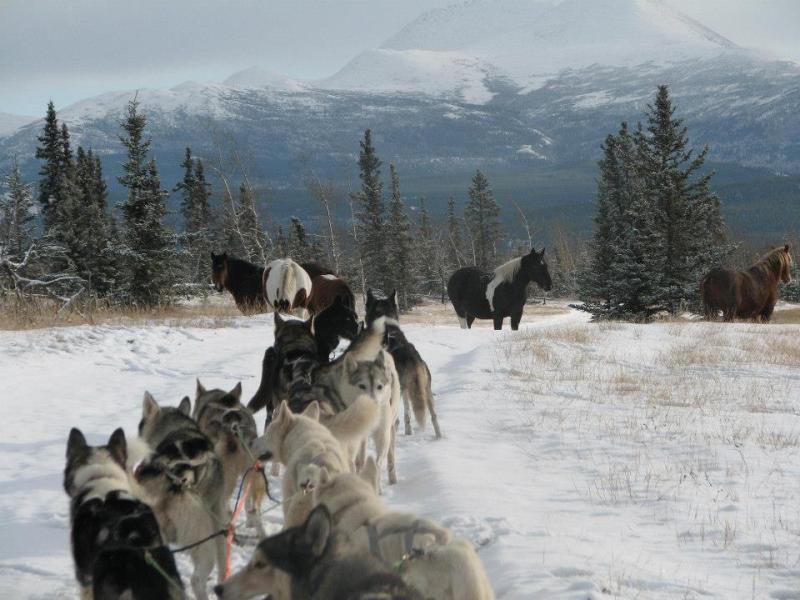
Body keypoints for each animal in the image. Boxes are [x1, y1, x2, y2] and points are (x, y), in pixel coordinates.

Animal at [366, 289, 442, 439]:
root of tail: (412, 358)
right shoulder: (406, 390)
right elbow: (407, 414)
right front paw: (408, 431)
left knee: (393, 421)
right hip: (425, 391)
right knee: (433, 416)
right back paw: (439, 437)